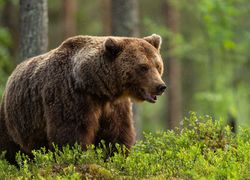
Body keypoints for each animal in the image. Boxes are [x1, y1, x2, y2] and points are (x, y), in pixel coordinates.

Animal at [0, 34, 166, 162]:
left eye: (158, 66)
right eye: (143, 67)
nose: (161, 86)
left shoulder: (113, 106)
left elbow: (116, 135)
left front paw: (115, 157)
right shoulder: (70, 96)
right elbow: (70, 134)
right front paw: (77, 156)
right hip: (13, 120)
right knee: (10, 150)